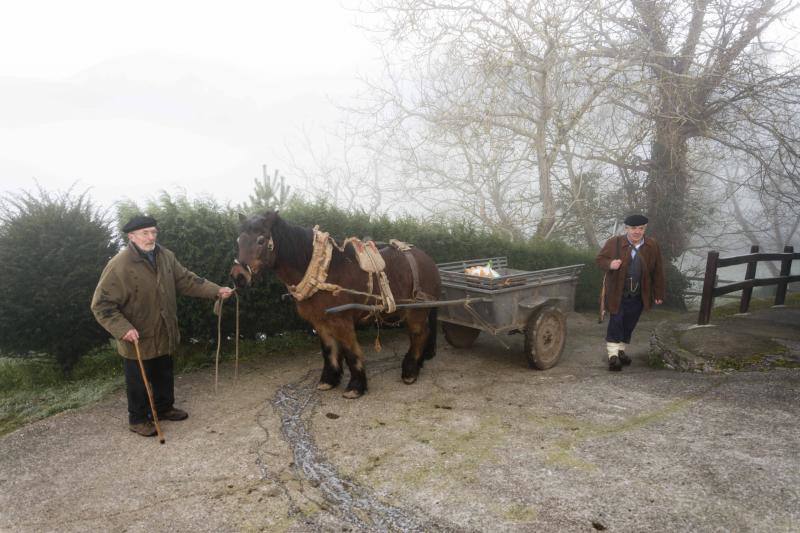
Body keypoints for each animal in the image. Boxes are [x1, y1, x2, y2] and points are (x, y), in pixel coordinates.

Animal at [231, 210, 440, 396]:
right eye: (239, 240)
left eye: (261, 240)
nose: (238, 276)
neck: (323, 272)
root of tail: (428, 259)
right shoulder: (319, 321)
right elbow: (329, 350)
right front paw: (329, 379)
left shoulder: (341, 321)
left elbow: (351, 352)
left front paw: (356, 386)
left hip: (417, 310)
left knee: (419, 334)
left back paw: (410, 371)